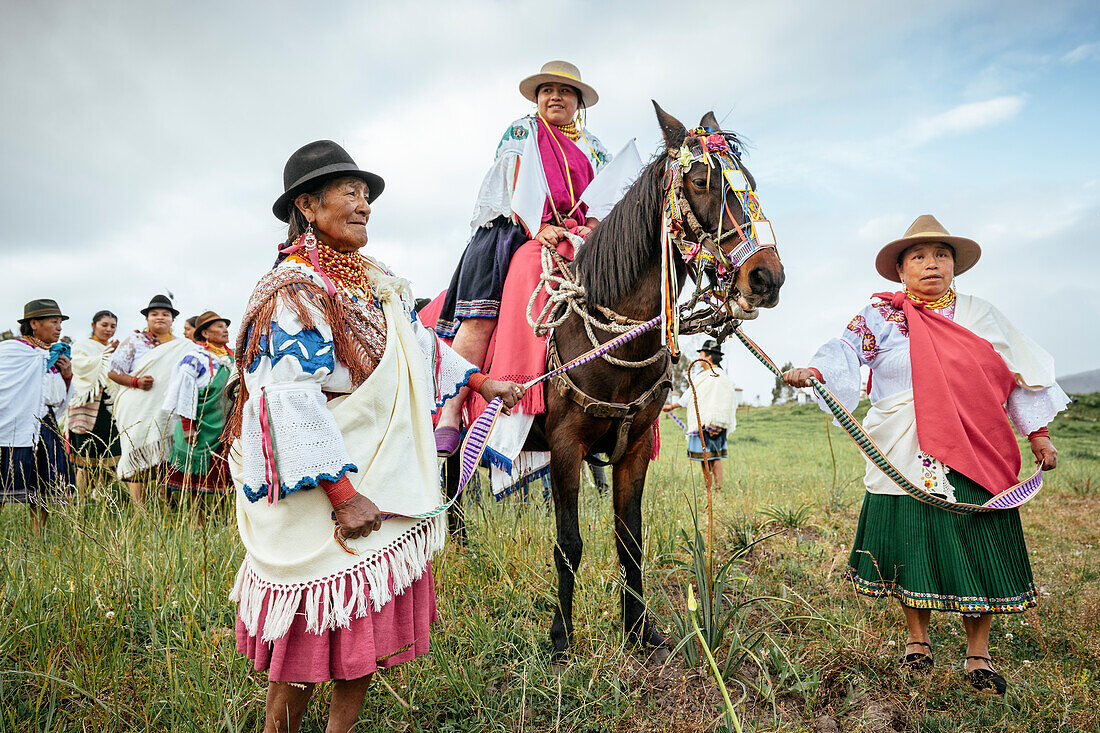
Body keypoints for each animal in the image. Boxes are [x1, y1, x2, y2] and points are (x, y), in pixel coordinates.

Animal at [442, 100, 787, 651]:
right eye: (700, 181)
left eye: (749, 183)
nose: (766, 277)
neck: (609, 339)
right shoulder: (566, 446)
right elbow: (568, 542)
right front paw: (561, 637)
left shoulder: (634, 447)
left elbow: (630, 539)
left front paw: (639, 628)